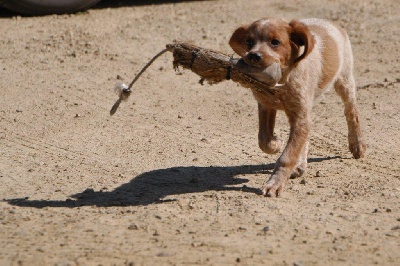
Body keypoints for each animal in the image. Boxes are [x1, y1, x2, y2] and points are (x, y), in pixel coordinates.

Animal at [230, 18, 368, 197]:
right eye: (249, 42)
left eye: (275, 42)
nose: (253, 56)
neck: (281, 83)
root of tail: (330, 22)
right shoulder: (266, 106)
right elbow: (264, 139)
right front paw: (276, 144)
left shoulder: (300, 116)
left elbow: (287, 156)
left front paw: (275, 184)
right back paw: (299, 164)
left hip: (344, 81)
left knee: (352, 113)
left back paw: (357, 144)